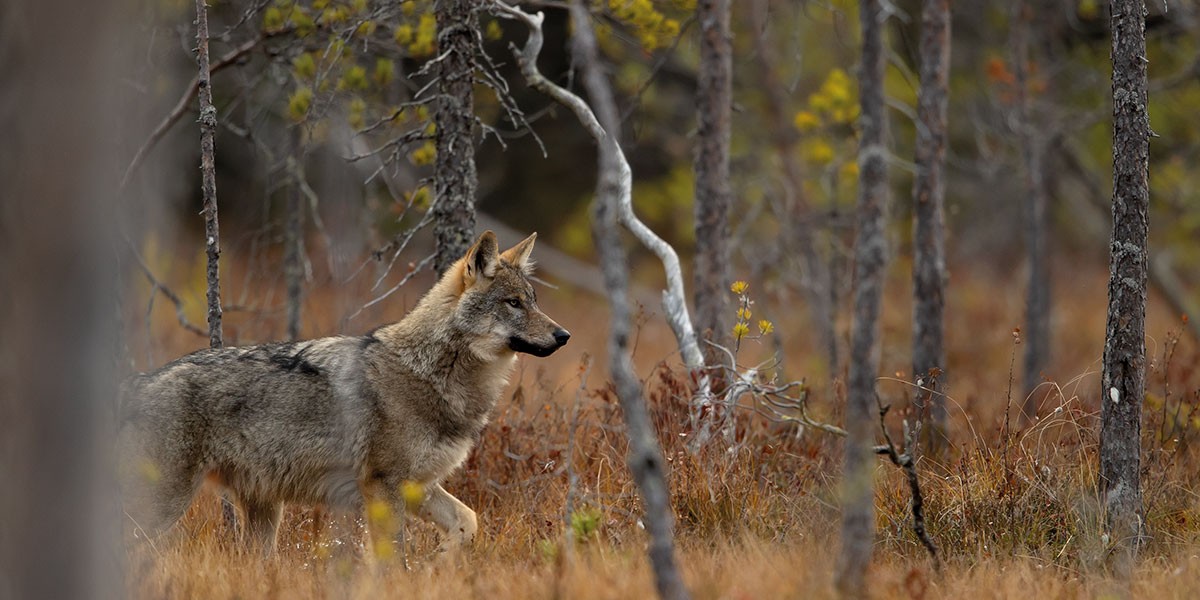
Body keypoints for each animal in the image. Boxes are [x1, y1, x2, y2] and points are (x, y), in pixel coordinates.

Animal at [118, 230, 569, 553]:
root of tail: (137, 383)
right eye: (513, 303)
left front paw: (443, 564)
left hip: (264, 514)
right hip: (168, 504)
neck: (433, 374)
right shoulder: (383, 485)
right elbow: (394, 558)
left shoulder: (418, 486)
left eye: (533, 301)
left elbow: (468, 521)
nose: (563, 335)